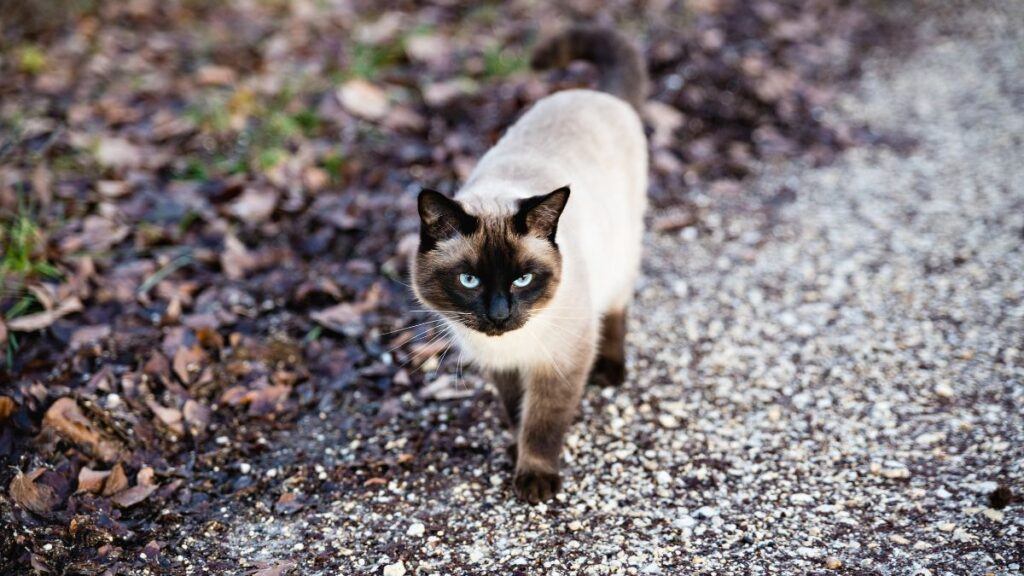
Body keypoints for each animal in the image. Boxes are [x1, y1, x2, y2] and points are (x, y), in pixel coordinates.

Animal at [409, 25, 643, 502]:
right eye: (469, 280)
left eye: (522, 279)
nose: (499, 314)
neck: (509, 345)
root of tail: (595, 94)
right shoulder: (503, 370)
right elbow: (518, 413)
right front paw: (514, 452)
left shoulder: (560, 364)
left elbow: (543, 423)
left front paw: (535, 478)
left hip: (620, 257)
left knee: (617, 309)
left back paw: (610, 371)